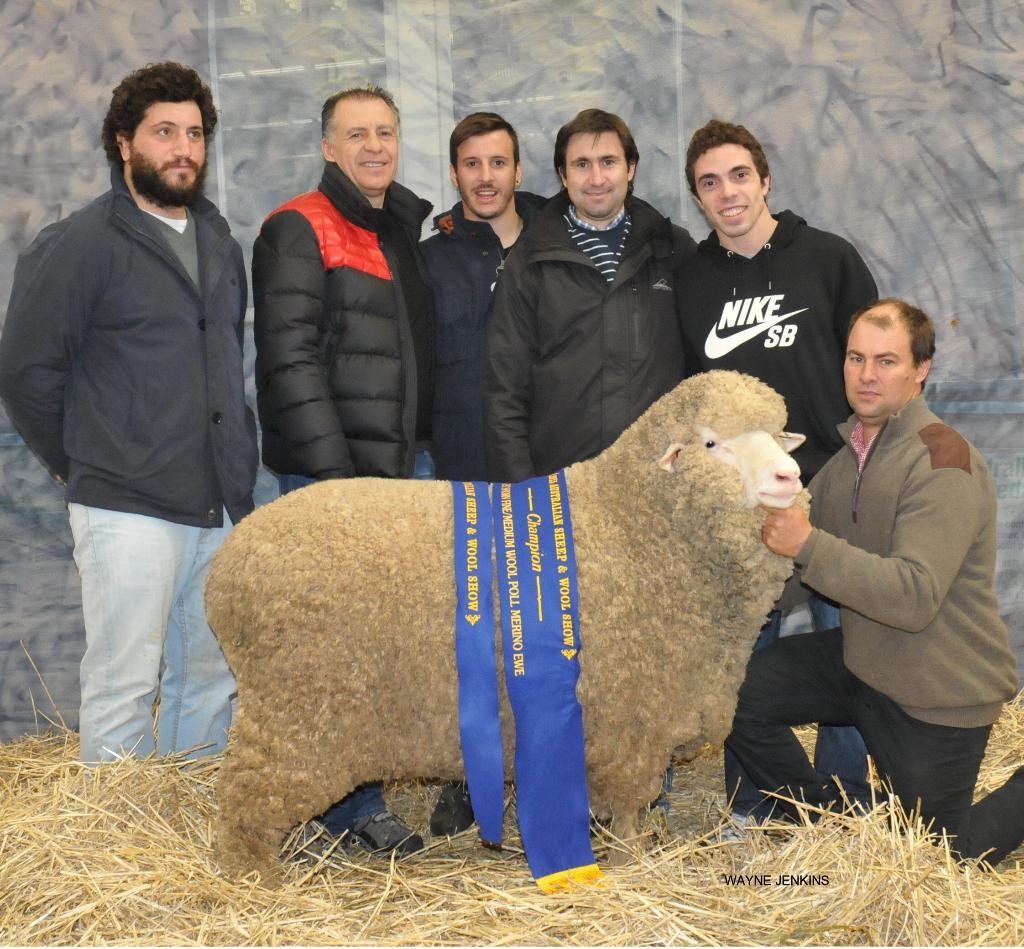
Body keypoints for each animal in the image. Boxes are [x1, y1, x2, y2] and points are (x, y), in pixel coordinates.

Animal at [207, 370, 806, 884]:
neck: (632, 524)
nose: (790, 476)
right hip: (298, 713)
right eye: (712, 444)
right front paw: (630, 859)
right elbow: (628, 808)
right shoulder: (630, 722)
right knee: (244, 797)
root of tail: (225, 569)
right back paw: (254, 879)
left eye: (779, 435)